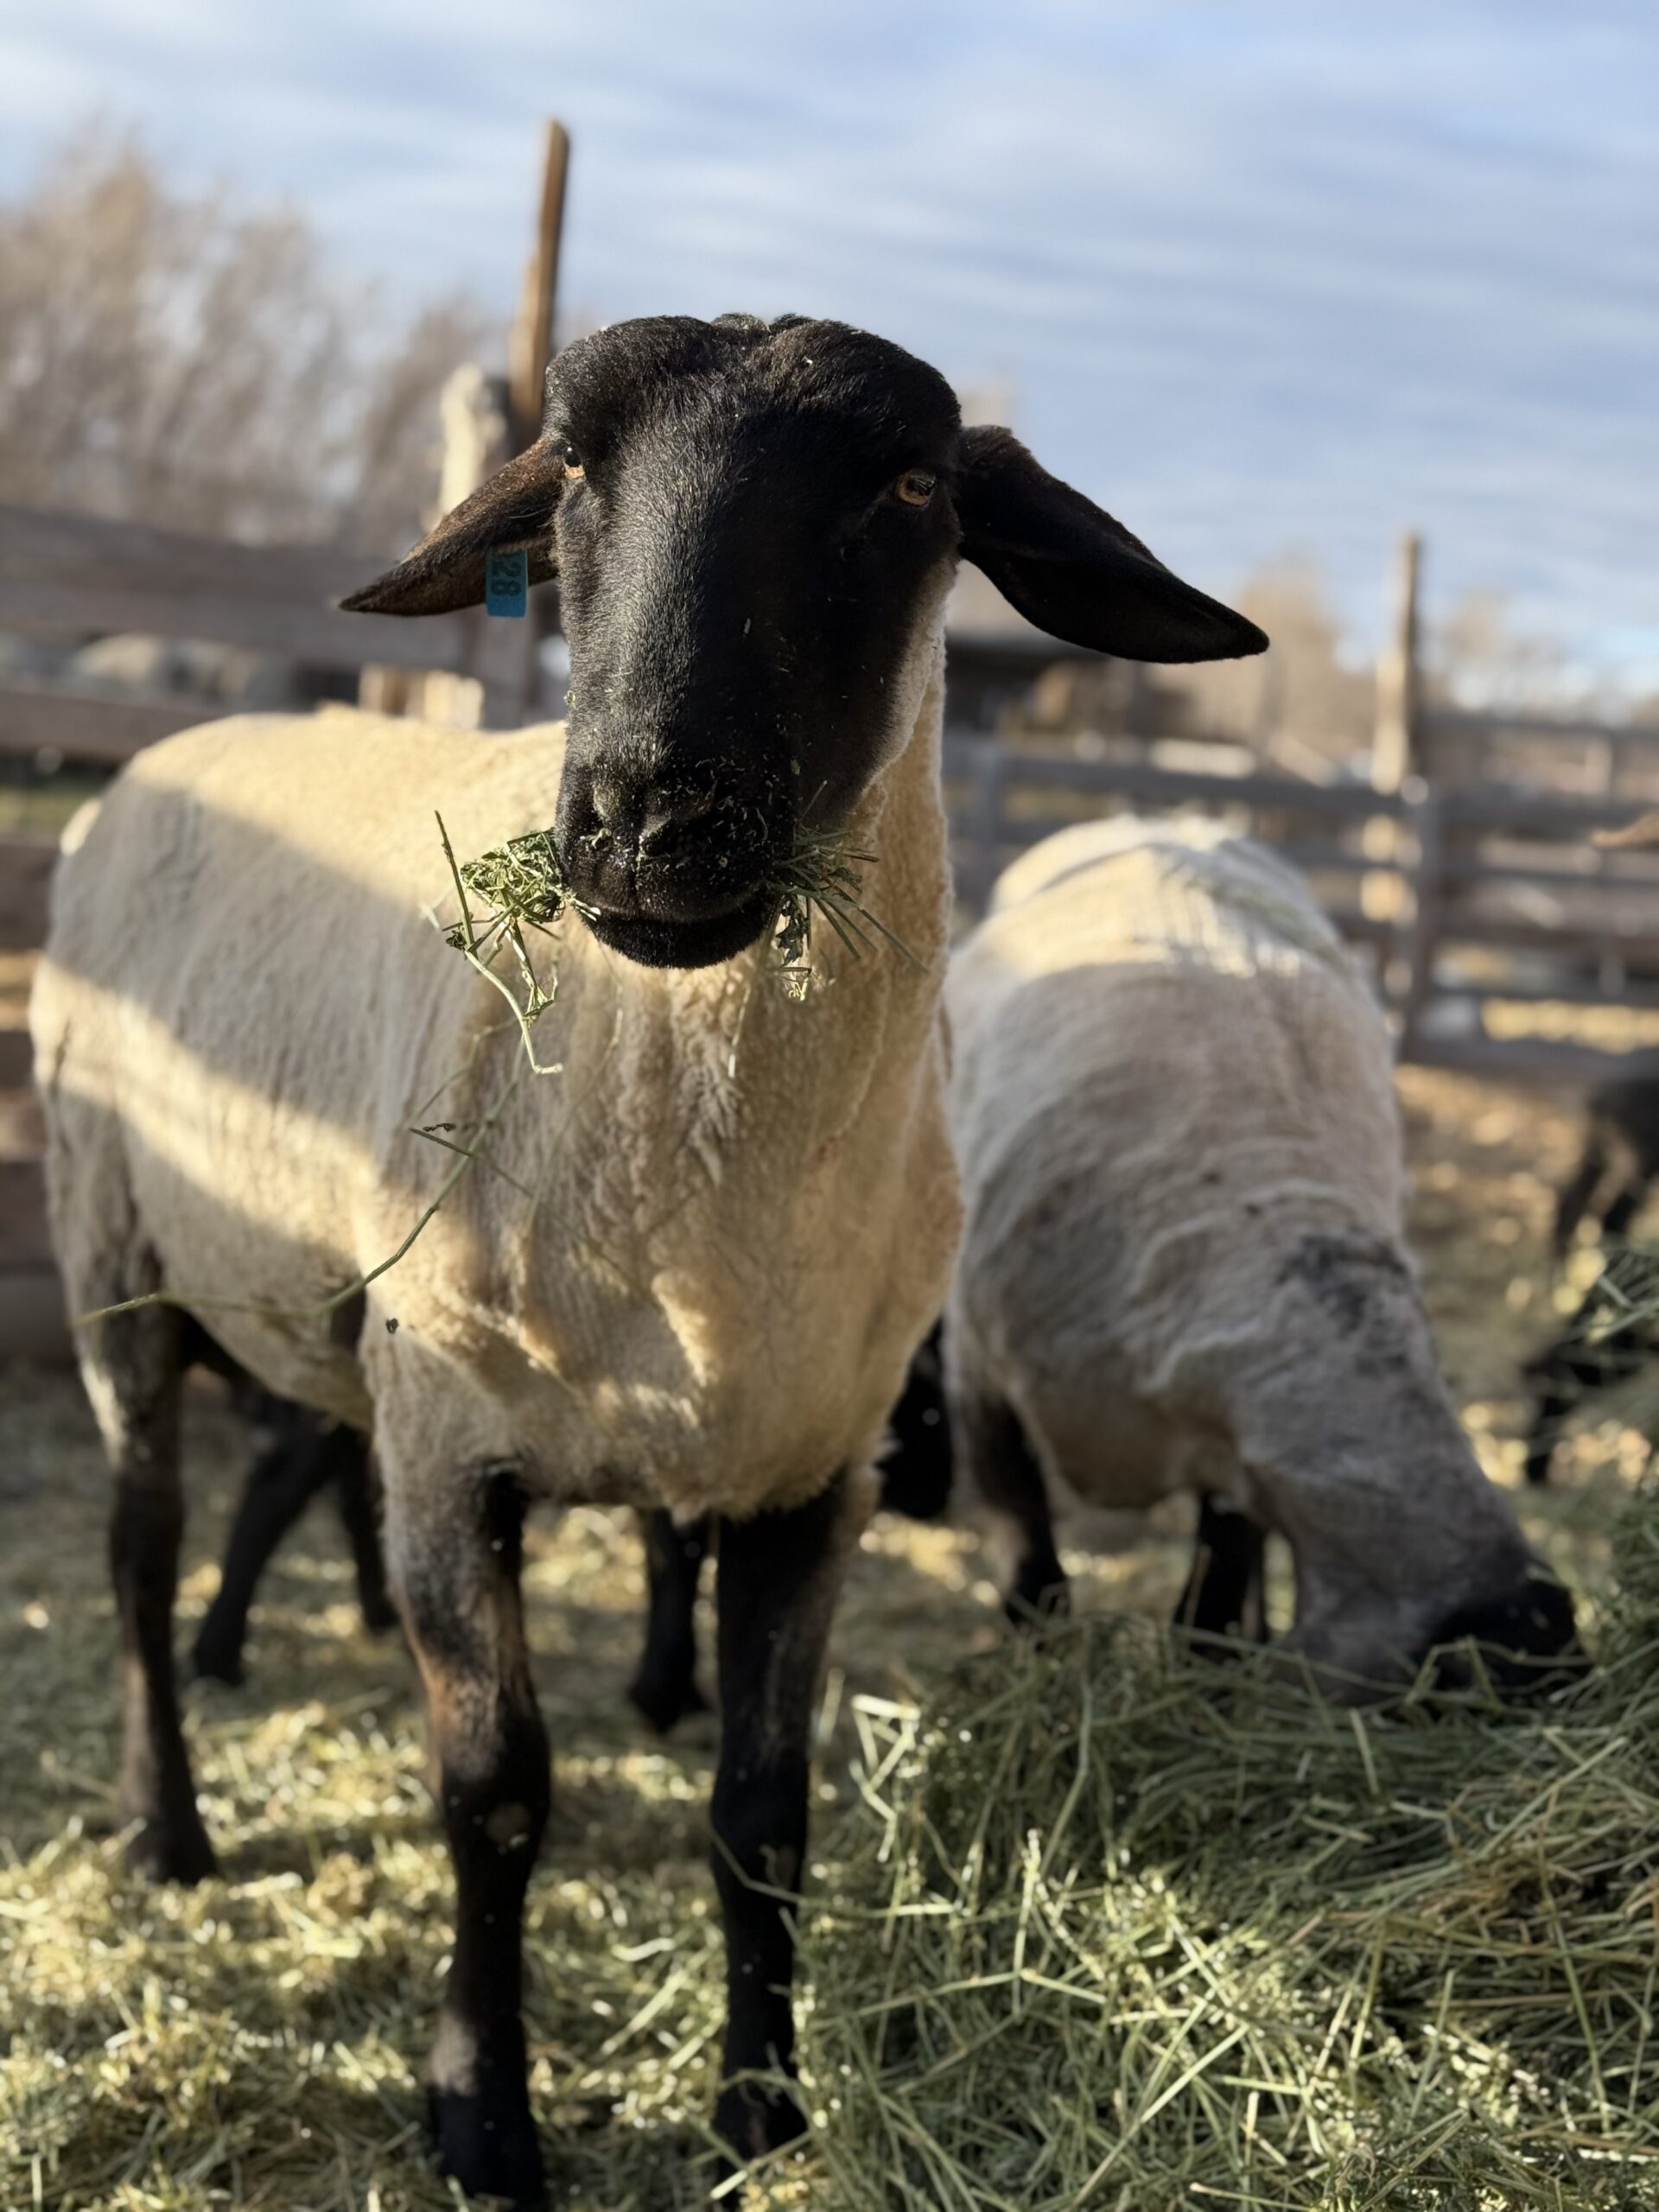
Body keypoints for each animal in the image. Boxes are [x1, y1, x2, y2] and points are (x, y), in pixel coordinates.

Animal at [32, 312, 1265, 2205]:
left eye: (913, 489)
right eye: (574, 473)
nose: (646, 825)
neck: (692, 1185)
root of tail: (172, 743)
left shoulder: (807, 1471)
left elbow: (764, 1813)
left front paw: (763, 2106)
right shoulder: (457, 1444)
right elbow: (495, 1795)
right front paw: (483, 2115)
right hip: (115, 1243)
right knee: (138, 1541)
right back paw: (166, 1823)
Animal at [941, 815, 1579, 1692]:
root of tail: (1153, 817)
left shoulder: (1232, 1455)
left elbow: (1214, 1590)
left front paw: (1210, 1677)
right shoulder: (981, 1376)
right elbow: (1032, 1566)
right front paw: (1031, 1677)